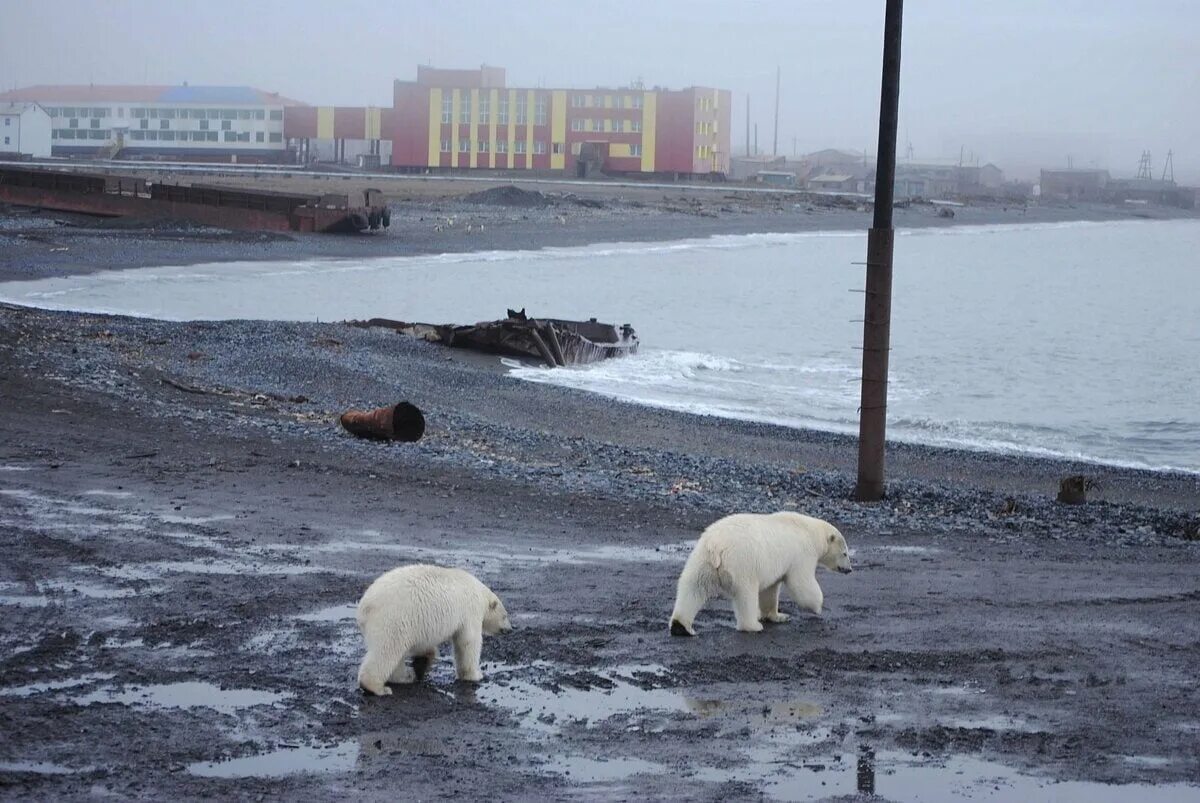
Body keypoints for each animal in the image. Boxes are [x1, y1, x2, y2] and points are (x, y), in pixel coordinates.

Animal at [350, 561, 511, 691]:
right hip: (393, 619)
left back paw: (407, 676)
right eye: (505, 616)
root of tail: (364, 607)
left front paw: (423, 661)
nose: (510, 629)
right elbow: (468, 641)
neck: (480, 593)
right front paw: (476, 675)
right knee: (387, 650)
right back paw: (377, 687)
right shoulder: (470, 611)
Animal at [667, 511, 854, 633]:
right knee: (746, 594)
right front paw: (818, 606)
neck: (810, 531)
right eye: (845, 553)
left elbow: (770, 590)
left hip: (702, 558)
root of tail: (717, 546)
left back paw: (680, 626)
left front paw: (778, 616)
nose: (849, 569)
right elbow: (801, 582)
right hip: (742, 563)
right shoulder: (802, 553)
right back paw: (753, 626)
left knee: (693, 587)